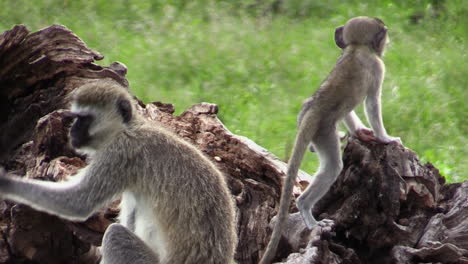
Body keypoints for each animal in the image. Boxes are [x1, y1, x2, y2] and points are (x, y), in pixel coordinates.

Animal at [0, 81, 238, 264]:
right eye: (75, 117)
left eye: (84, 119)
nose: (72, 131)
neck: (127, 128)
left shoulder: (119, 154)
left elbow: (78, 202)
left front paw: (6, 183)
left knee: (115, 235)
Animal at [260, 17, 402, 264]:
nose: (387, 40)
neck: (357, 47)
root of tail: (312, 112)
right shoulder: (377, 67)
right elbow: (372, 103)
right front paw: (385, 137)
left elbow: (348, 110)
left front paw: (361, 132)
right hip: (323, 132)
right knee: (333, 166)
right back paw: (307, 212)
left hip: (316, 129)